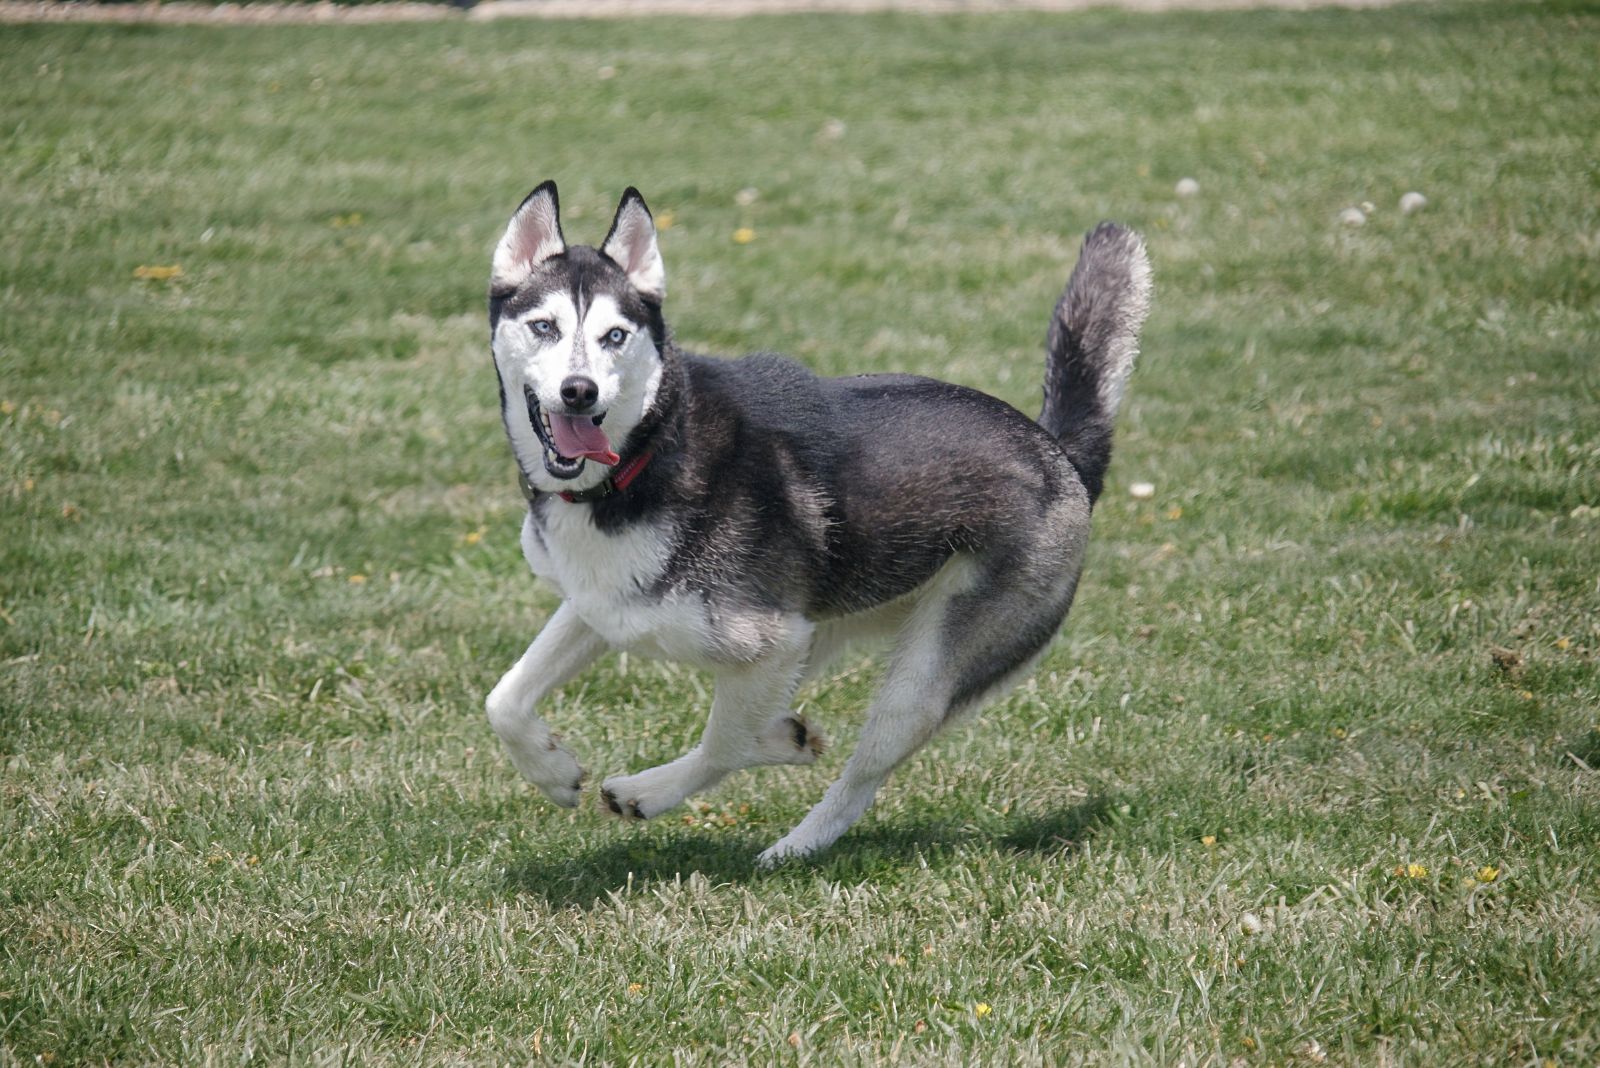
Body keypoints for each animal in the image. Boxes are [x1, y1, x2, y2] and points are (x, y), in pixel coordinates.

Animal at [480, 181, 1145, 869]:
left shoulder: (770, 640)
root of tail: (1062, 454)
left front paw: (653, 785)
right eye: (544, 327)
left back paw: (787, 845)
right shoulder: (604, 605)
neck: (644, 458)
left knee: (855, 775)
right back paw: (776, 743)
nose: (579, 391)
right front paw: (552, 772)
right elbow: (503, 698)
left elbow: (726, 743)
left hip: (919, 678)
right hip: (829, 621)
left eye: (614, 336)